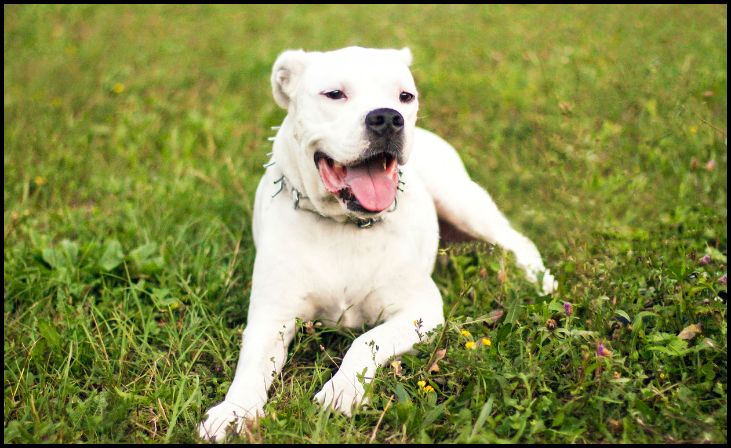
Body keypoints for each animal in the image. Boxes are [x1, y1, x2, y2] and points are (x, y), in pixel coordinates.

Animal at [199, 46, 556, 440]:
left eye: (405, 96)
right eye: (334, 94)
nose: (388, 118)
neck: (343, 225)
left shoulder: (420, 310)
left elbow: (365, 342)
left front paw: (342, 390)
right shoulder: (270, 318)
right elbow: (250, 368)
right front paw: (233, 411)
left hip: (462, 201)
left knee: (516, 240)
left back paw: (538, 281)